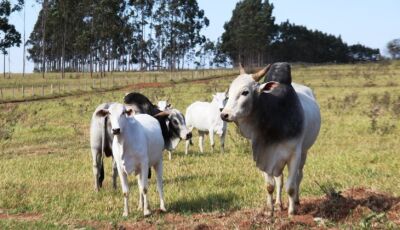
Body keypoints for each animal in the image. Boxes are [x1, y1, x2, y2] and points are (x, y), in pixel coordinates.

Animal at [220, 62, 320, 216]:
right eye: (228, 93)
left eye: (245, 92)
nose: (224, 114)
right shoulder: (264, 154)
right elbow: (270, 185)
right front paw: (270, 210)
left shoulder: (294, 155)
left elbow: (291, 186)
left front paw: (291, 212)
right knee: (280, 179)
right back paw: (278, 203)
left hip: (304, 153)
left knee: (299, 176)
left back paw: (296, 201)